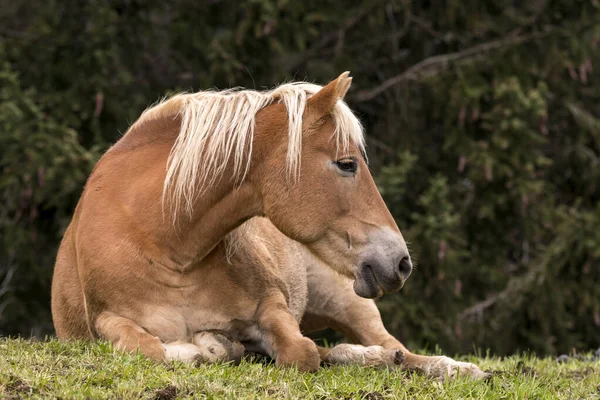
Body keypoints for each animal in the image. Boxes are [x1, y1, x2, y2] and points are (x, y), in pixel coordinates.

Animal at [51, 71, 488, 378]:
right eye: (347, 164)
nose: (400, 262)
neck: (167, 246)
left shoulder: (271, 304)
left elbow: (302, 351)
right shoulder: (104, 319)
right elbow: (147, 347)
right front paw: (202, 347)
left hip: (346, 299)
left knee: (393, 347)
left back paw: (451, 368)